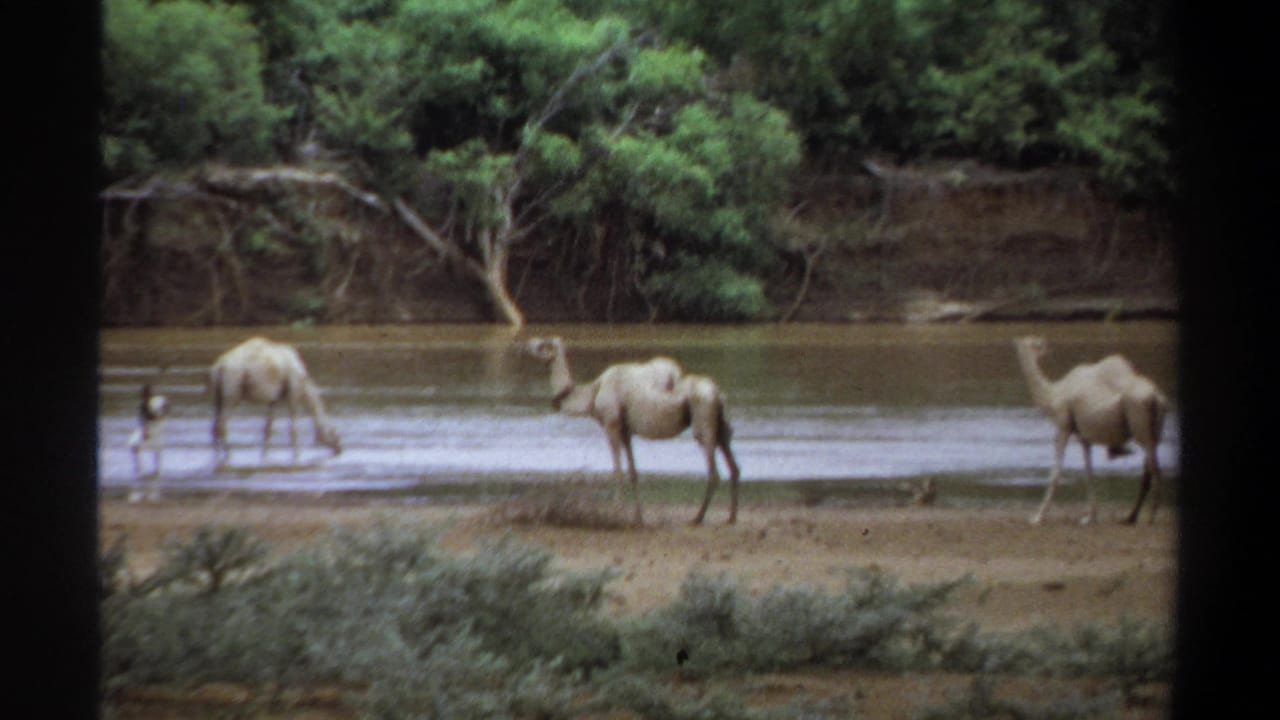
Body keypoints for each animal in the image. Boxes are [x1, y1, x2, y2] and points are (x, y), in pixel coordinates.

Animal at [210, 337, 342, 467]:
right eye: (333, 432)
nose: (339, 449)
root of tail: (219, 366)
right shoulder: (293, 393)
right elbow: (293, 429)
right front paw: (297, 456)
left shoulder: (273, 400)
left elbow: (268, 428)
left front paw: (264, 456)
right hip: (232, 388)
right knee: (222, 424)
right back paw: (228, 454)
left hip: (218, 394)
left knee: (215, 425)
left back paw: (216, 456)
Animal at [524, 336, 741, 526]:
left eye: (543, 344)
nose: (529, 342)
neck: (593, 394)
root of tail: (717, 393)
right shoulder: (625, 431)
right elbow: (633, 472)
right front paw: (638, 518)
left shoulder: (611, 424)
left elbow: (617, 471)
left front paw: (615, 514)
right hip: (720, 426)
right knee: (733, 466)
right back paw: (731, 517)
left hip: (702, 418)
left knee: (713, 471)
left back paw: (698, 518)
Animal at [1013, 336, 1169, 526]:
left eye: (1037, 343)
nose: (1046, 346)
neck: (1054, 394)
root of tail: (1156, 397)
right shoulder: (1083, 438)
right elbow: (1089, 473)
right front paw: (1090, 517)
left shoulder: (1063, 426)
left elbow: (1056, 472)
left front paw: (1037, 517)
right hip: (1153, 431)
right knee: (1149, 469)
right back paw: (1130, 517)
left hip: (1141, 425)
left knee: (1154, 470)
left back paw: (1150, 517)